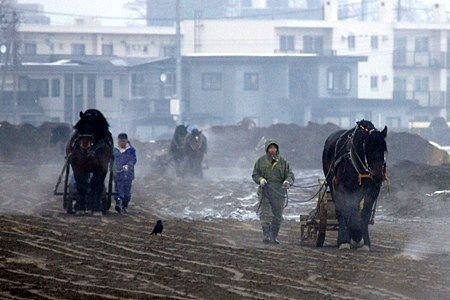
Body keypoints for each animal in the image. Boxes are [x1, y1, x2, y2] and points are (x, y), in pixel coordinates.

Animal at [322, 120, 388, 251]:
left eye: (383, 149)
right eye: (368, 148)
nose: (378, 176)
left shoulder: (372, 190)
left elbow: (365, 213)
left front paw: (364, 241)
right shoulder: (342, 188)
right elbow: (347, 210)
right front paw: (347, 239)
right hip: (333, 185)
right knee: (341, 208)